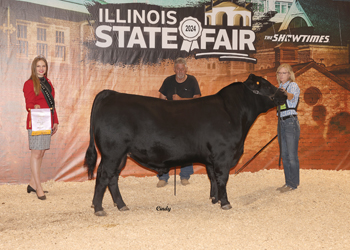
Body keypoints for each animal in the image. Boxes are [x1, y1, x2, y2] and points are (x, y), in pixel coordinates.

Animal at [84, 73, 288, 215]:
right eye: (266, 85)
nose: (285, 94)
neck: (233, 113)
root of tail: (111, 94)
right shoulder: (223, 154)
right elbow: (222, 178)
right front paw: (225, 203)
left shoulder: (211, 158)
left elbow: (213, 178)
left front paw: (214, 199)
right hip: (113, 152)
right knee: (104, 175)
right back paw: (99, 209)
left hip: (120, 155)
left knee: (113, 178)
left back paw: (121, 206)